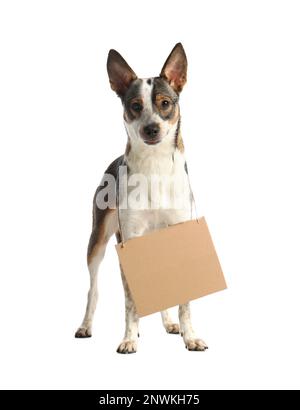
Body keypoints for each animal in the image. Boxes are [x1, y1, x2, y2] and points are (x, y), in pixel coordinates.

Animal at [74, 44, 207, 352]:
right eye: (135, 106)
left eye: (165, 103)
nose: (151, 128)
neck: (155, 166)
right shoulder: (130, 241)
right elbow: (131, 301)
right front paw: (128, 339)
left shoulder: (180, 235)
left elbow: (184, 299)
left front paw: (190, 336)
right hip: (97, 241)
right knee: (93, 290)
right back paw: (86, 326)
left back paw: (169, 324)